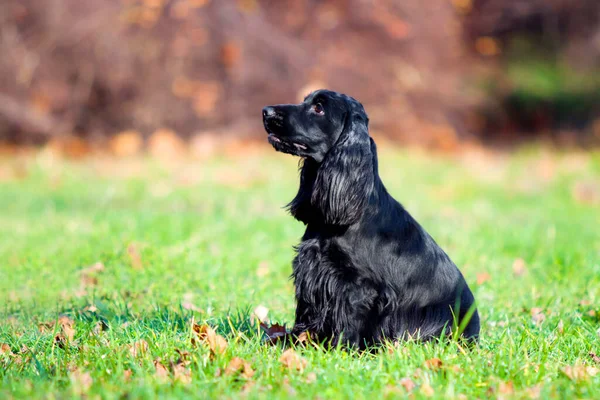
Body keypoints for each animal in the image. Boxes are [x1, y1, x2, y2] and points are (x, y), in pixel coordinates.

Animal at [262, 89, 478, 348]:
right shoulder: (311, 274)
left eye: (319, 108)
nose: (266, 111)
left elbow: (348, 322)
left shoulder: (357, 285)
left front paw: (341, 350)